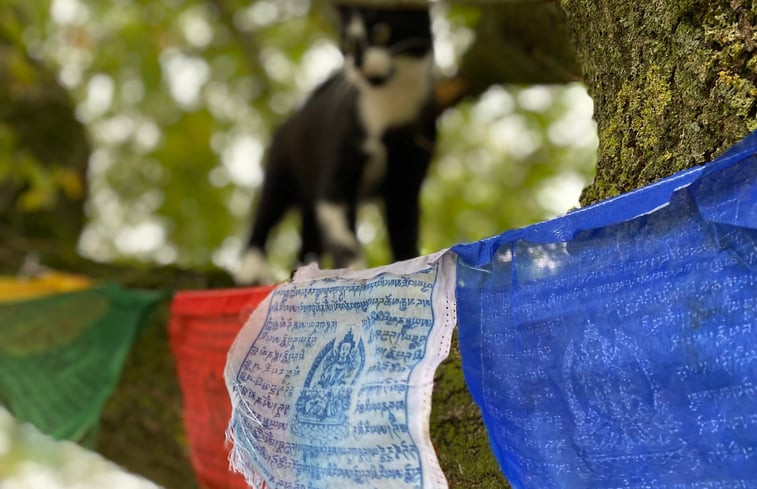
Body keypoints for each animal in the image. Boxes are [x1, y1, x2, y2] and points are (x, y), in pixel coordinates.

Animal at [236, 3, 438, 284]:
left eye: (380, 30)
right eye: (348, 43)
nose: (357, 61)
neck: (387, 111)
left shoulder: (406, 180)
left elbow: (404, 233)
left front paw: (411, 266)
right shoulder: (335, 182)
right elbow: (346, 242)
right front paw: (352, 272)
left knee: (308, 240)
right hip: (281, 166)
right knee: (266, 213)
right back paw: (251, 268)